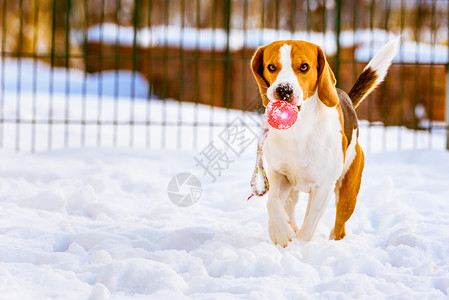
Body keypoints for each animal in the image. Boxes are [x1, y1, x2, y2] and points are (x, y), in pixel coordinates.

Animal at [250, 39, 398, 246]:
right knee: (289, 205)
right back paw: (290, 226)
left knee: (339, 226)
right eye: (271, 67)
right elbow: (272, 202)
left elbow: (308, 228)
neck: (298, 130)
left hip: (347, 193)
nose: (284, 90)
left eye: (304, 67)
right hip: (295, 188)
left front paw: (299, 247)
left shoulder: (323, 188)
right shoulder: (279, 175)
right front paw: (280, 231)